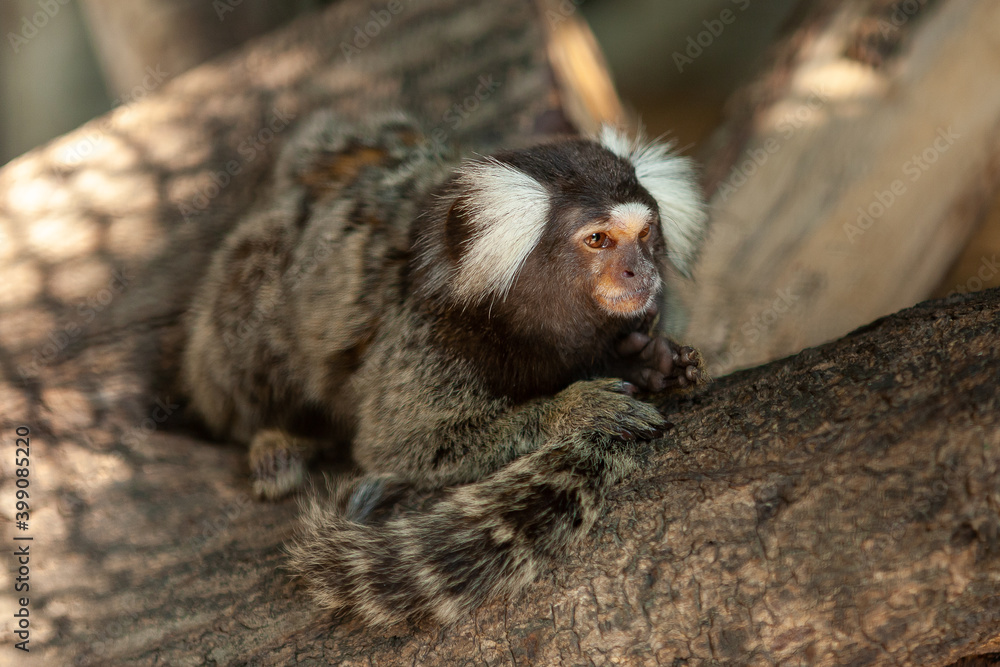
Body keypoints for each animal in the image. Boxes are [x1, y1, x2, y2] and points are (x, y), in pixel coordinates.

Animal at [181, 109, 708, 626]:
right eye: (598, 240)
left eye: (644, 235)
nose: (641, 271)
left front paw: (652, 363)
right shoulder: (429, 334)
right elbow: (400, 448)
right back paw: (274, 439)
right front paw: (576, 410)